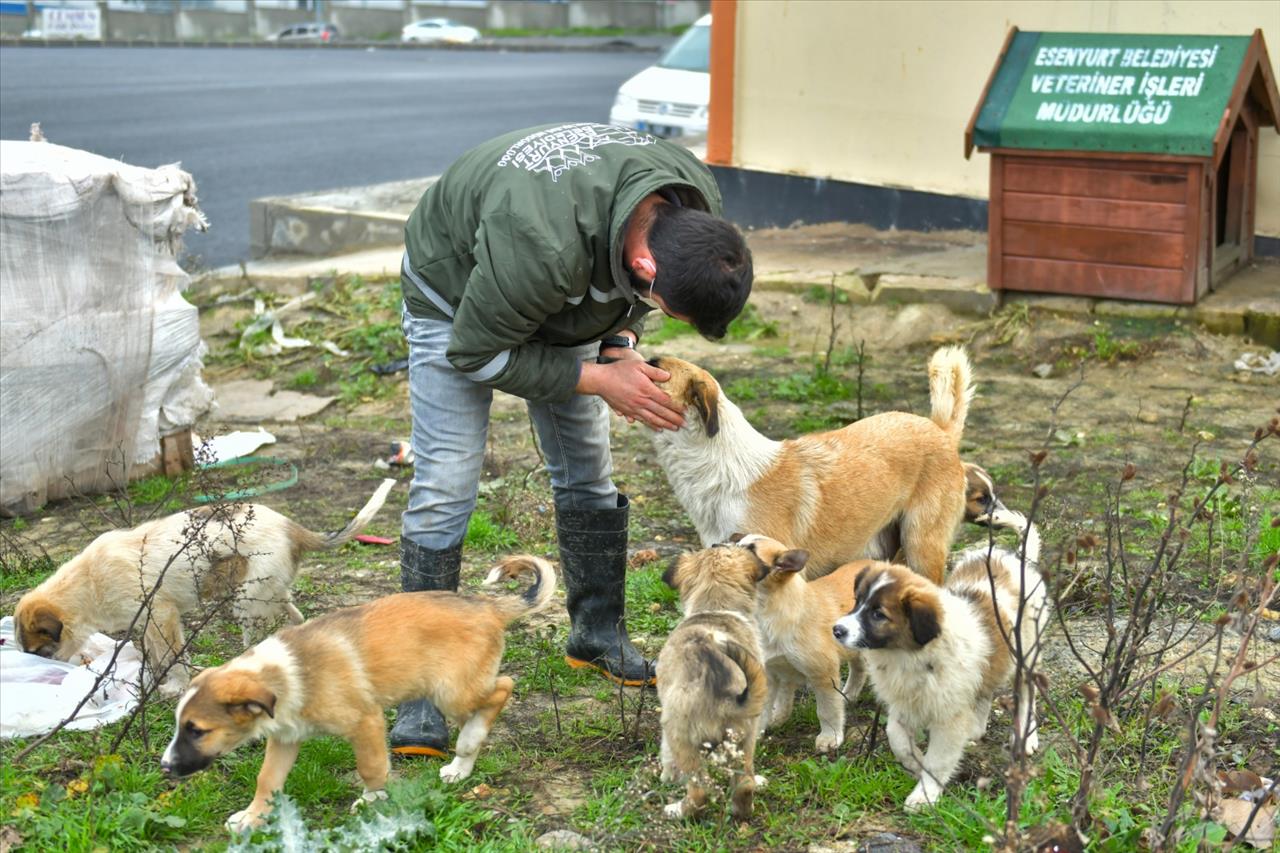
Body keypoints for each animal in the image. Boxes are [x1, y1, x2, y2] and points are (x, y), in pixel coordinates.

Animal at [15, 473, 394, 696]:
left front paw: (175, 686)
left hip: (247, 601)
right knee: (295, 615)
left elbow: (172, 656)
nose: (51, 673)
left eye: (39, 651)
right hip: (266, 590)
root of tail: (291, 527)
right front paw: (152, 682)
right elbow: (155, 655)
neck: (88, 583)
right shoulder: (147, 622)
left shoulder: (161, 615)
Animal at [157, 550, 552, 829]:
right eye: (181, 727)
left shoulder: (366, 722)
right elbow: (267, 779)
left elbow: (371, 767)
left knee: (503, 688)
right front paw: (252, 817)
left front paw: (372, 801)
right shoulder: (285, 737)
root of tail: (489, 606)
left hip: (453, 691)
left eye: (197, 730)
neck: (290, 674)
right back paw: (460, 766)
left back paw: (465, 750)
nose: (164, 768)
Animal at [655, 540, 773, 819]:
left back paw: (677, 810)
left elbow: (665, 754)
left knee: (699, 792)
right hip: (747, 735)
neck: (716, 607)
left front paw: (666, 776)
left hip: (680, 734)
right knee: (744, 783)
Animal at [732, 532, 870, 753]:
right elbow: (770, 704)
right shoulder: (771, 672)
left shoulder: (823, 674)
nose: (715, 546)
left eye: (750, 550)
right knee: (859, 668)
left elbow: (827, 710)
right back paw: (849, 694)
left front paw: (830, 737)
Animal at [829, 507, 1049, 809]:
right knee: (985, 691)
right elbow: (896, 738)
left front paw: (924, 794)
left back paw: (1025, 738)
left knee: (1027, 693)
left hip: (1025, 652)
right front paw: (916, 765)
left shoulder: (949, 718)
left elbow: (939, 758)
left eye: (878, 614)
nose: (836, 630)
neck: (909, 656)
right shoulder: (905, 705)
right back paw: (976, 728)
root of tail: (1017, 559)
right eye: (857, 601)